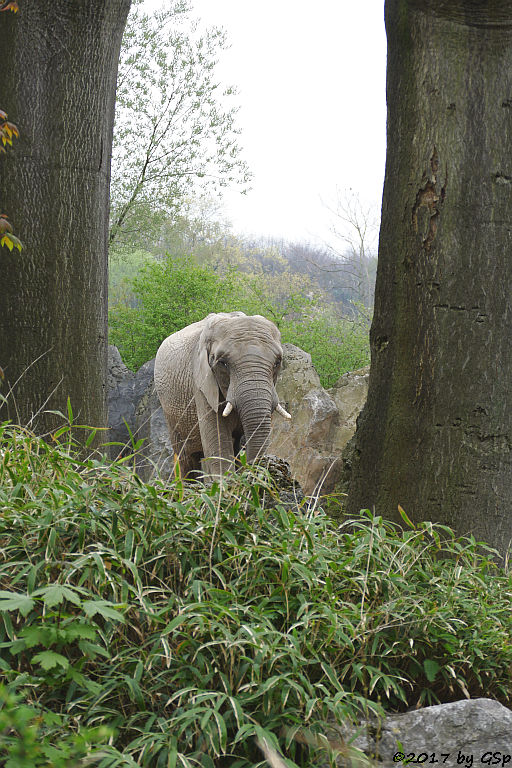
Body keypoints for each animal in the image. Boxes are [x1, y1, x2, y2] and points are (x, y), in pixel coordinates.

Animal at [154, 308, 290, 476]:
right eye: (223, 363)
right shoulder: (201, 384)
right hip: (170, 414)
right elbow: (219, 447)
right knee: (186, 459)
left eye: (277, 362)